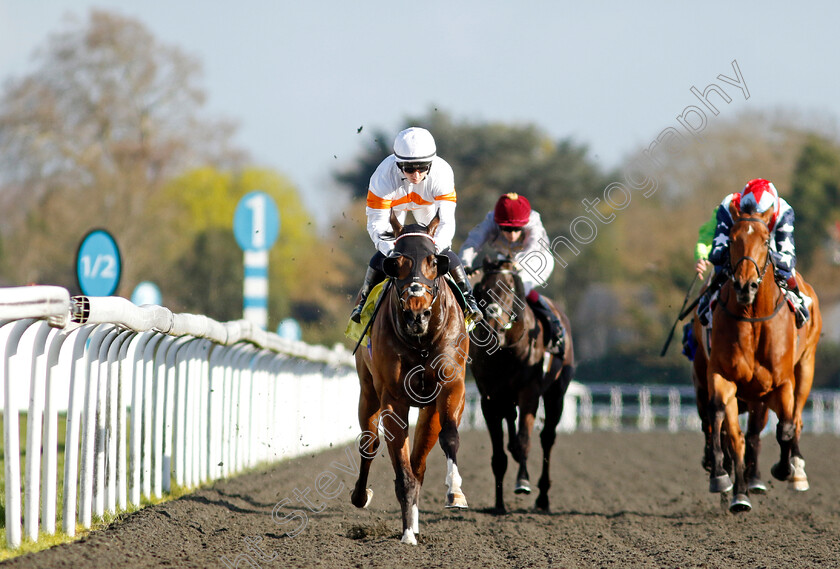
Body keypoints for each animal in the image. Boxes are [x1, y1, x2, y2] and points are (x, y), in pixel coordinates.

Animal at [348, 207, 470, 540]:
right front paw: (405, 536)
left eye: (433, 261)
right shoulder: (393, 399)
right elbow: (400, 469)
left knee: (419, 461)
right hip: (367, 392)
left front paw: (455, 492)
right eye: (396, 263)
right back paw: (362, 496)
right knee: (369, 444)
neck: (421, 342)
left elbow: (449, 438)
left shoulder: (451, 387)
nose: (417, 314)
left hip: (429, 409)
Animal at [470, 255, 576, 512]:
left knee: (547, 437)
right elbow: (500, 456)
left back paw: (543, 497)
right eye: (481, 289)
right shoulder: (489, 399)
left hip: (556, 394)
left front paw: (523, 482)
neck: (505, 352)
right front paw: (499, 504)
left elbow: (524, 442)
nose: (493, 327)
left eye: (509, 288)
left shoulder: (530, 393)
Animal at [708, 203, 820, 510]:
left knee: (796, 419)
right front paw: (725, 480)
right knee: (743, 434)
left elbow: (786, 428)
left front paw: (784, 469)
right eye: (731, 239)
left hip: (805, 368)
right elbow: (725, 423)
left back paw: (797, 471)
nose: (745, 286)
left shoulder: (783, 382)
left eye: (766, 240)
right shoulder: (723, 375)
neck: (753, 319)